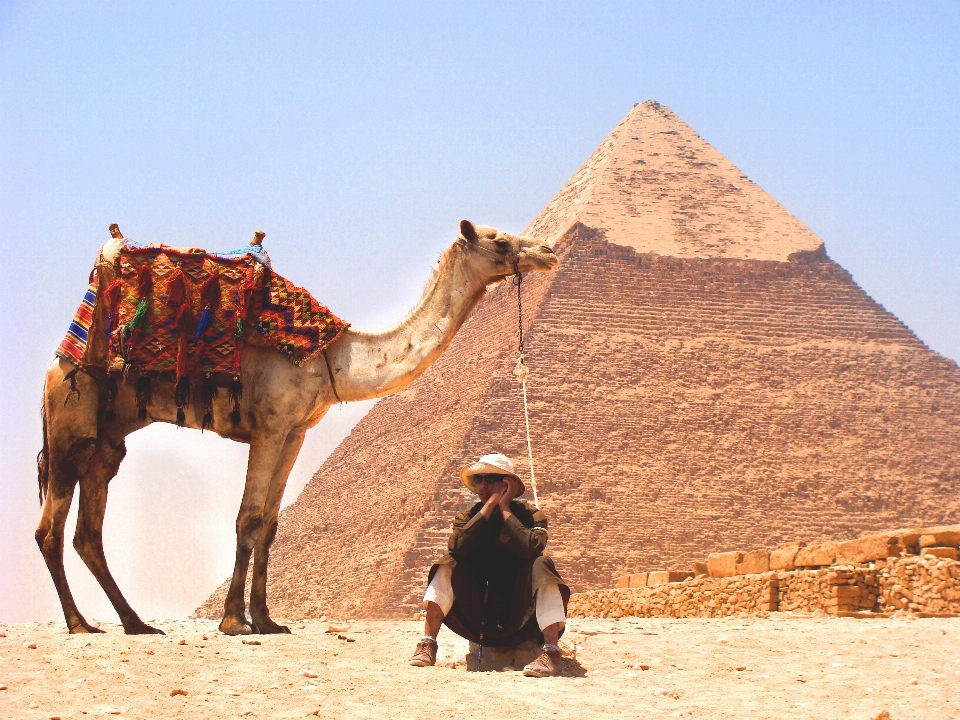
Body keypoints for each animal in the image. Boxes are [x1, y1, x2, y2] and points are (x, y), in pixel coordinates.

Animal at [37, 221, 560, 636]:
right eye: (499, 241)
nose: (547, 251)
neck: (332, 357)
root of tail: (58, 360)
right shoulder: (269, 426)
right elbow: (248, 518)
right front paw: (233, 621)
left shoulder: (295, 432)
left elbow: (269, 524)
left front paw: (267, 619)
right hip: (70, 420)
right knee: (50, 529)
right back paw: (80, 624)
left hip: (107, 440)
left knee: (87, 532)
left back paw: (135, 623)